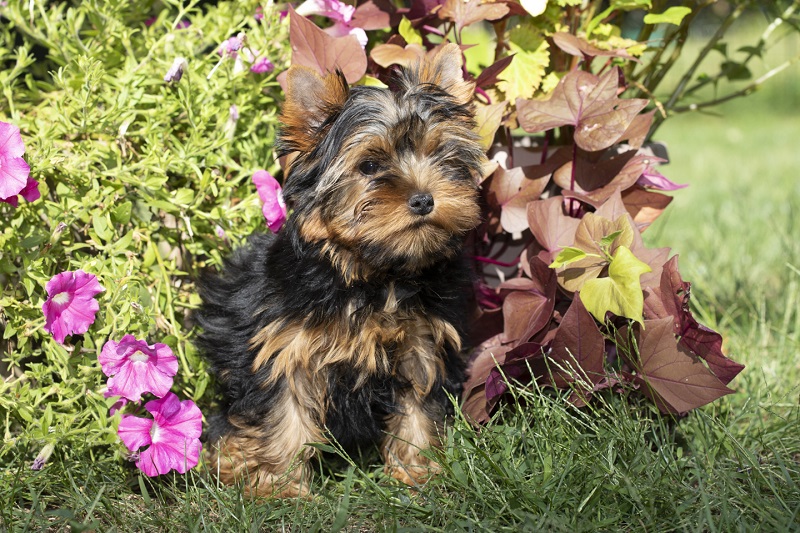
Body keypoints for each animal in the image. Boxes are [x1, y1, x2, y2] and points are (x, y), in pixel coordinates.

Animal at [198, 43, 488, 496]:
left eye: (441, 156)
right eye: (369, 166)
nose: (424, 198)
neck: (374, 273)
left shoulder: (420, 345)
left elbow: (418, 408)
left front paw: (418, 473)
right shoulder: (284, 350)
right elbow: (283, 418)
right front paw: (281, 489)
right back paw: (229, 459)